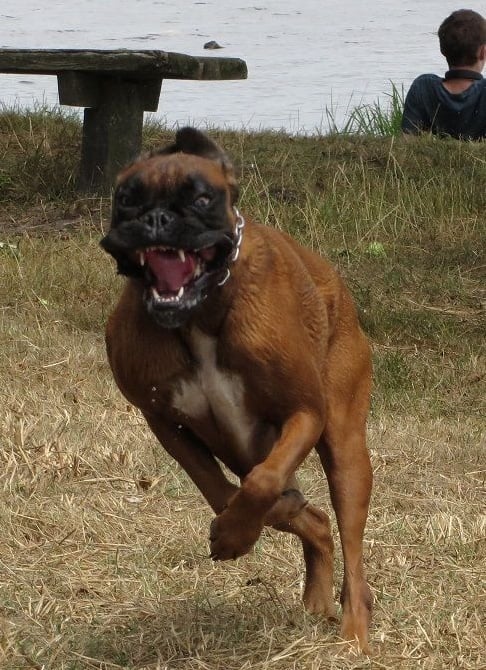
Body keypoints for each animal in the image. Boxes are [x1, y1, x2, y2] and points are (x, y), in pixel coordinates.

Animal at [98, 129, 372, 652]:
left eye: (202, 198)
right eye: (127, 199)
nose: (158, 218)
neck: (202, 313)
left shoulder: (305, 412)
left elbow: (261, 483)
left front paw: (233, 536)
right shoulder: (163, 419)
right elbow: (220, 488)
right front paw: (235, 529)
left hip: (345, 450)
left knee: (350, 544)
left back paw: (354, 633)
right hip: (250, 448)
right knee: (314, 521)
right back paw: (314, 592)